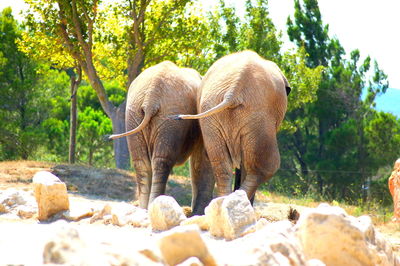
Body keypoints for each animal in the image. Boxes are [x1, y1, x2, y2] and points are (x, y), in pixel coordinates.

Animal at [108, 60, 214, 210]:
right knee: (161, 161)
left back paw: (144, 208)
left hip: (136, 115)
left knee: (142, 162)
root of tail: (150, 99)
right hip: (166, 117)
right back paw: (152, 205)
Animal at [172, 50, 290, 204]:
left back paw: (225, 202)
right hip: (258, 117)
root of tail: (233, 91)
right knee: (265, 167)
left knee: (221, 164)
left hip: (213, 115)